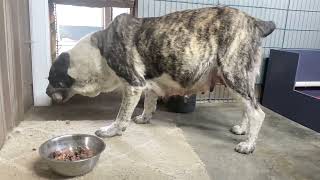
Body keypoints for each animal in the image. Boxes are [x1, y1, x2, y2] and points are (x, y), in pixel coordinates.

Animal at [46, 6, 276, 153]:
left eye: (52, 78)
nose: (46, 92)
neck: (98, 53)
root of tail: (255, 22)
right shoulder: (146, 83)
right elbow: (149, 102)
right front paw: (144, 118)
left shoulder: (133, 85)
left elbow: (121, 116)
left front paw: (112, 130)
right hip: (240, 80)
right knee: (249, 107)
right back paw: (243, 130)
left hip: (232, 74)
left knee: (258, 113)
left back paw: (248, 145)